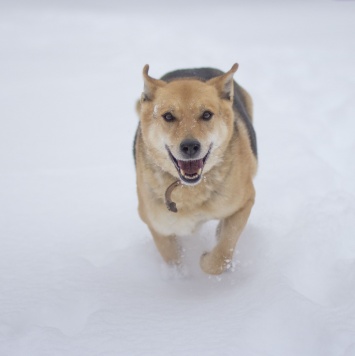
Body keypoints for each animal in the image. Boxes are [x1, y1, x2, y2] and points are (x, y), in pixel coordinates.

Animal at [135, 64, 258, 276]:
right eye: (168, 116)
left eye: (206, 114)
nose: (190, 146)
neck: (190, 189)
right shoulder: (157, 225)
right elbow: (172, 257)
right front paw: (181, 276)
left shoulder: (245, 202)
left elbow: (222, 253)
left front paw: (207, 260)